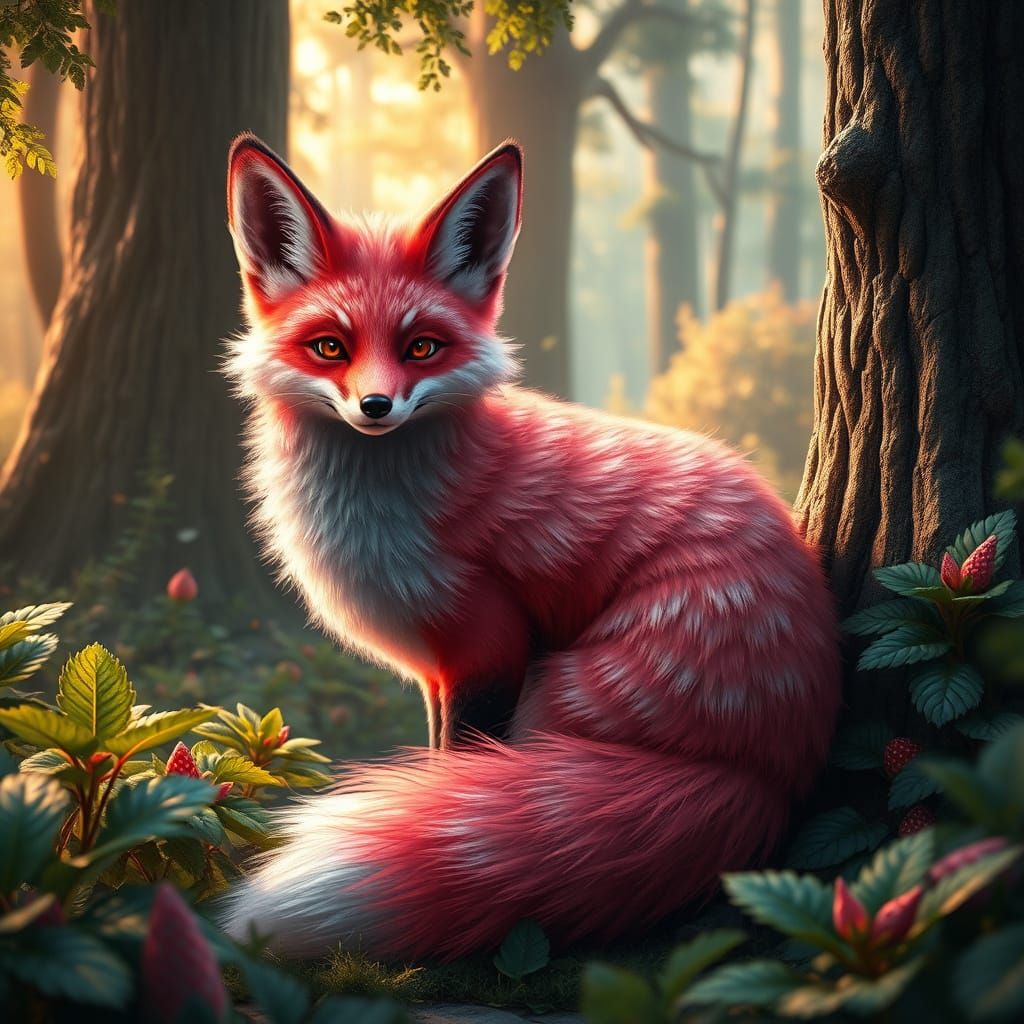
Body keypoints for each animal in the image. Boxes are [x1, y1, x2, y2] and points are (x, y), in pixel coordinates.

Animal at [219, 134, 842, 961]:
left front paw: (437, 806)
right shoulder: (438, 667)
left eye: (422, 347)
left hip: (553, 698)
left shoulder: (488, 641)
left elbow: (457, 766)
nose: (376, 406)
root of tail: (774, 771)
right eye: (329, 347)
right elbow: (439, 751)